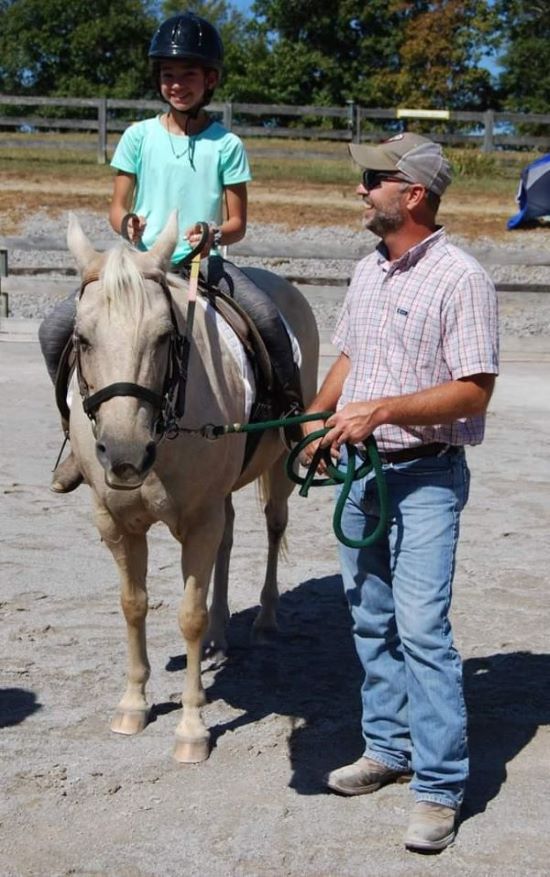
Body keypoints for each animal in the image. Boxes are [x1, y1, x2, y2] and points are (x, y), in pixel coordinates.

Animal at [67, 212, 322, 760]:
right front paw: (134, 704)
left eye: (165, 337)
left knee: (273, 528)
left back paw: (265, 620)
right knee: (228, 540)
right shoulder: (116, 523)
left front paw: (191, 729)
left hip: (276, 469)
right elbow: (133, 604)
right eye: (82, 338)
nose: (124, 455)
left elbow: (189, 616)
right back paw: (221, 634)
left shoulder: (199, 520)